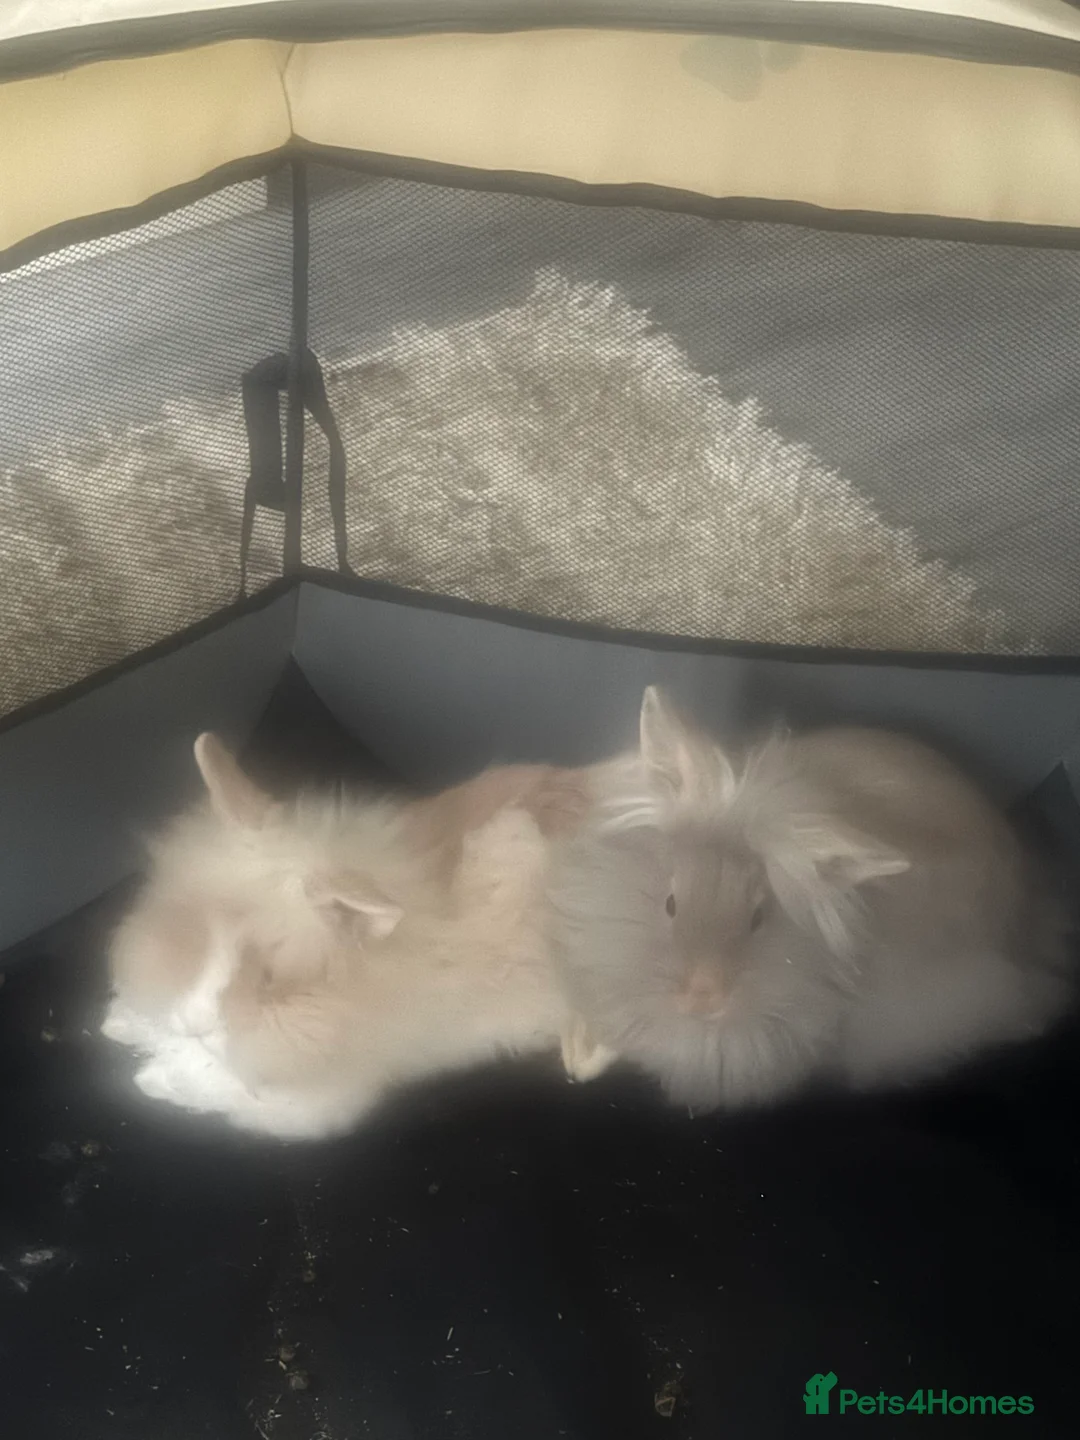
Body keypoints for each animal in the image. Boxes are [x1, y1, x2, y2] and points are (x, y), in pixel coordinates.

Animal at [102, 735, 596, 1140]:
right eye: (194, 931)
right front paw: (120, 1022)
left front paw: (151, 1077)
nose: (196, 1023)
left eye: (273, 983)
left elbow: (220, 1083)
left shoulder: (318, 1099)